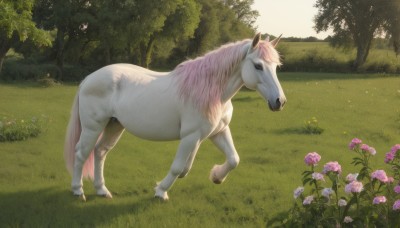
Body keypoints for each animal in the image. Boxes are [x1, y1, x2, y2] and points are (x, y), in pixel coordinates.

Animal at [64, 33, 286, 200]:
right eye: (258, 66)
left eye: (275, 66)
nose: (279, 101)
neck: (211, 91)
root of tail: (88, 79)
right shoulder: (190, 136)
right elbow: (178, 167)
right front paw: (161, 191)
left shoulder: (219, 132)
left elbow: (233, 159)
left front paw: (216, 177)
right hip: (93, 127)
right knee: (81, 153)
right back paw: (78, 190)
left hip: (114, 125)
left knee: (100, 152)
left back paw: (102, 190)